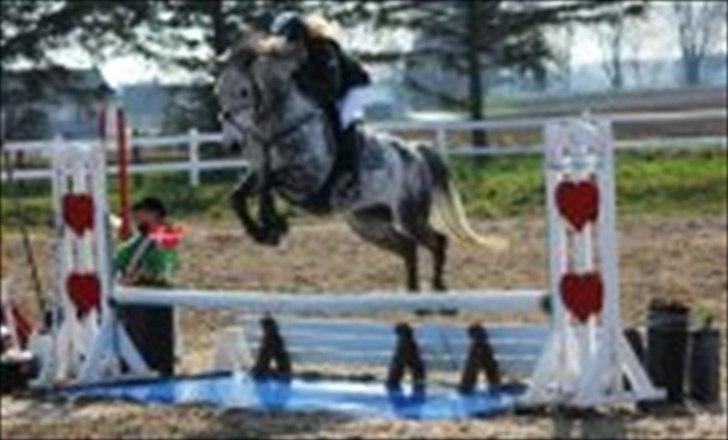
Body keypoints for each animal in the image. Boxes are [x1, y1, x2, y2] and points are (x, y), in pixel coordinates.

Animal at [216, 33, 506, 291]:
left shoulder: (309, 176)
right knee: (408, 246)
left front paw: (272, 225)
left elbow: (269, 183)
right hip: (366, 221)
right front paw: (261, 231)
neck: (283, 126)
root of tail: (416, 153)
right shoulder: (262, 171)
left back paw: (438, 289)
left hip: (408, 215)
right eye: (219, 92)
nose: (232, 144)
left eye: (244, 91)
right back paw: (414, 295)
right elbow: (241, 193)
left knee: (436, 241)